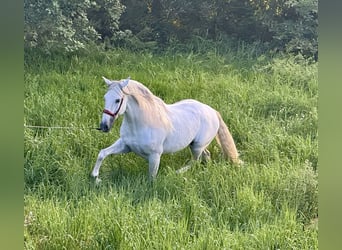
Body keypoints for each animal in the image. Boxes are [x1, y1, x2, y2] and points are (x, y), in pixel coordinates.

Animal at [91, 77, 240, 181]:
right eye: (105, 98)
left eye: (117, 100)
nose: (103, 126)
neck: (141, 123)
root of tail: (213, 111)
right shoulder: (125, 146)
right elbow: (102, 153)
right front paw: (95, 177)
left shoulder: (155, 156)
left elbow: (151, 178)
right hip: (196, 145)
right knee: (206, 156)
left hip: (197, 146)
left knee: (195, 161)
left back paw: (177, 172)